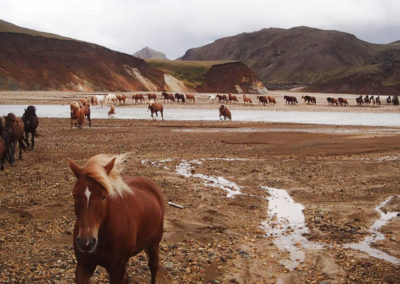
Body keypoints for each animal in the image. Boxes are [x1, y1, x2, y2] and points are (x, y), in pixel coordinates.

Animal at [68, 154, 165, 284]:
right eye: (75, 195)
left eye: (103, 196)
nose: (86, 242)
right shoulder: (83, 266)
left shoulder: (116, 270)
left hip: (153, 244)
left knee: (153, 266)